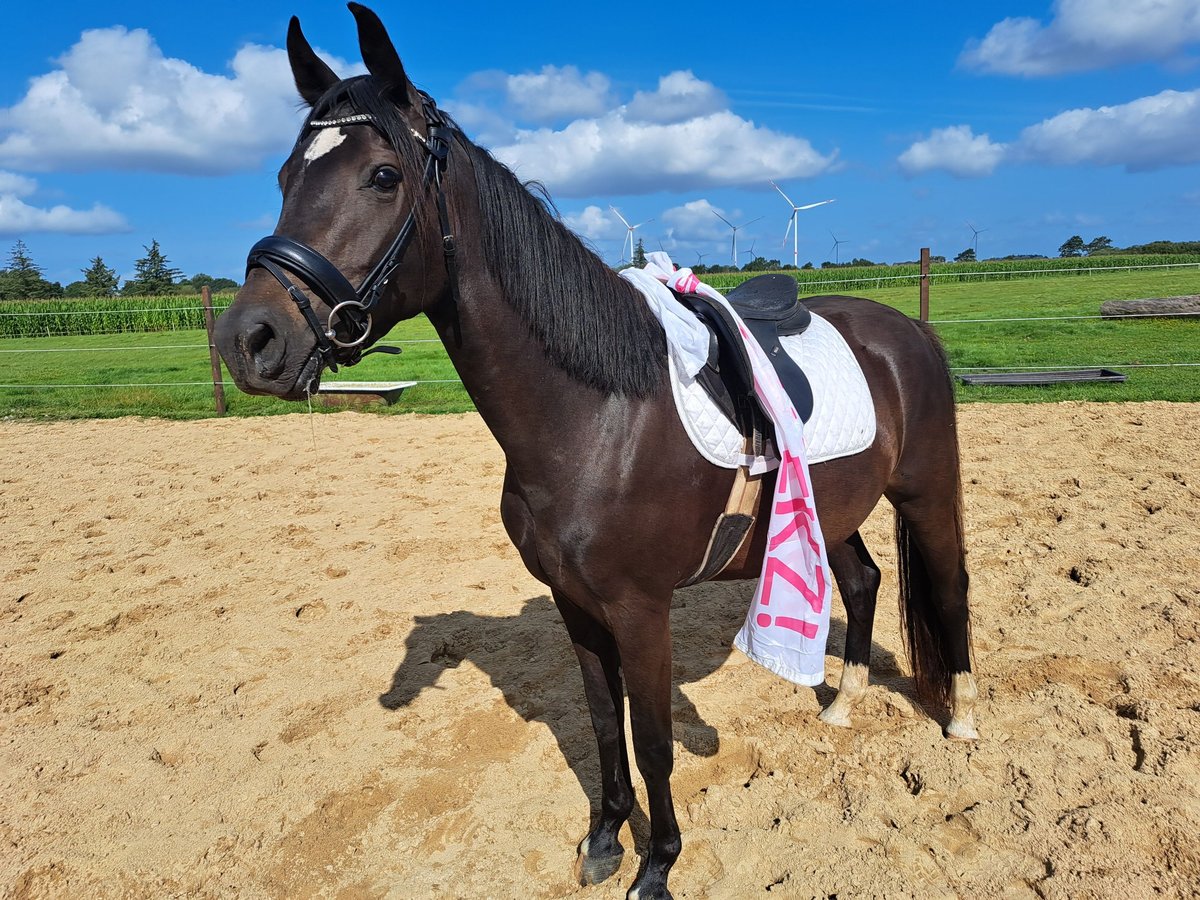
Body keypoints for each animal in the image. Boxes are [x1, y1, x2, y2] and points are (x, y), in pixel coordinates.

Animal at [216, 5, 979, 897]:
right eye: (282, 177)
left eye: (381, 175)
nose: (249, 341)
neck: (598, 418)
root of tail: (904, 330)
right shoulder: (575, 603)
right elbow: (601, 723)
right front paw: (607, 838)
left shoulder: (639, 609)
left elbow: (651, 739)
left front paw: (659, 863)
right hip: (833, 509)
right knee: (860, 582)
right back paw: (843, 701)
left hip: (926, 493)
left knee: (949, 589)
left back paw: (962, 719)